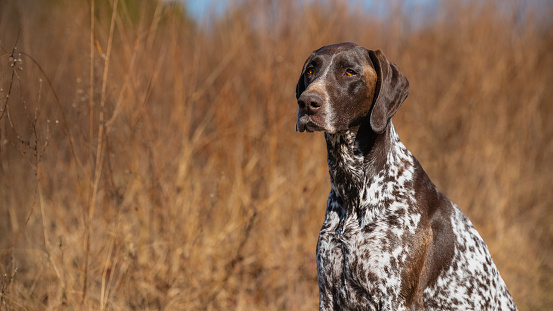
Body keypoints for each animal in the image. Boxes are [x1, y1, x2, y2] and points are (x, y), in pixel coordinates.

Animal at [296, 42, 516, 311]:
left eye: (350, 72)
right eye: (311, 70)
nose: (307, 102)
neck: (354, 189)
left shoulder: (395, 298)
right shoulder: (328, 295)